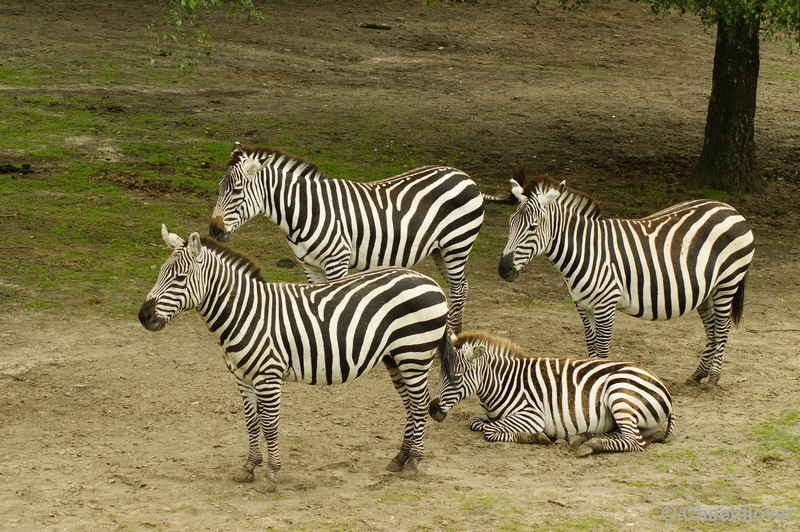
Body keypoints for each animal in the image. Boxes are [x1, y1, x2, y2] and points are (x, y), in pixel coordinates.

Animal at [140, 223, 454, 490]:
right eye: (160, 273)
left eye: (180, 278)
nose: (143, 316)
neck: (246, 312)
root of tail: (429, 281)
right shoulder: (242, 377)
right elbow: (251, 422)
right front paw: (249, 467)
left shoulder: (268, 376)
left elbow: (269, 424)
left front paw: (271, 475)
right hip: (395, 357)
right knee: (410, 405)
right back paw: (400, 459)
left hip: (414, 354)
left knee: (419, 405)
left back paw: (413, 464)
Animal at [209, 141, 516, 332]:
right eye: (220, 187)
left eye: (236, 191)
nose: (213, 230)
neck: (305, 209)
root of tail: (466, 177)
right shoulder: (309, 265)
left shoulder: (337, 260)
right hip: (441, 250)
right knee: (460, 286)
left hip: (457, 244)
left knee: (459, 288)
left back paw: (454, 333)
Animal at [432, 330, 676, 456]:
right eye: (441, 372)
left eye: (456, 376)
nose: (432, 409)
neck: (503, 382)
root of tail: (661, 384)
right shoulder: (489, 414)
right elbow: (475, 421)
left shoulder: (532, 416)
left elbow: (490, 431)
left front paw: (538, 437)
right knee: (625, 435)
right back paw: (583, 437)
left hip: (619, 393)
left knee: (634, 441)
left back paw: (590, 445)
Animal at [496, 166, 752, 386]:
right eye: (509, 223)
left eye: (532, 227)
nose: (503, 269)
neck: (586, 250)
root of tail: (729, 208)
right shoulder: (583, 306)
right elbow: (591, 348)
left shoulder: (605, 305)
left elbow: (602, 351)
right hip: (707, 290)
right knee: (712, 329)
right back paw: (698, 375)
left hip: (727, 282)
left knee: (722, 327)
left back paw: (713, 379)